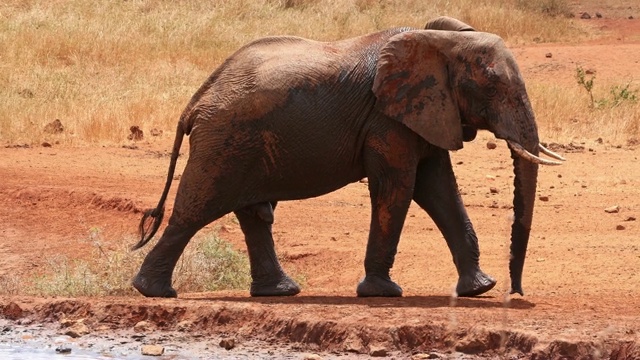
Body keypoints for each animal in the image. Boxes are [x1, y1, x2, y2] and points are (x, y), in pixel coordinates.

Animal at [131, 16, 564, 298]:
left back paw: (279, 293)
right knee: (194, 211)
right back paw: (154, 292)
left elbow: (439, 189)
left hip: (240, 142)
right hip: (224, 141)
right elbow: (398, 189)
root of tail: (197, 99)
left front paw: (479, 289)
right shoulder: (387, 120)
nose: (516, 292)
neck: (439, 40)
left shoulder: (426, 114)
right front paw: (383, 293)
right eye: (492, 85)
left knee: (253, 215)